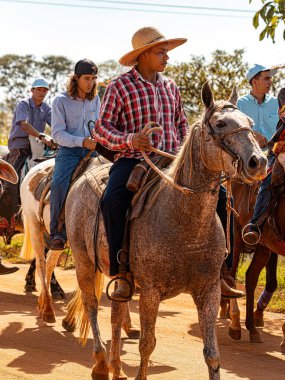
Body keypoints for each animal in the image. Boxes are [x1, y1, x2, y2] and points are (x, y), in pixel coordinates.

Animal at [58, 83, 266, 380]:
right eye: (220, 123)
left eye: (249, 122)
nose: (258, 162)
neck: (187, 226)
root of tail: (83, 178)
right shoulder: (150, 292)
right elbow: (147, 344)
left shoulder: (209, 290)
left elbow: (212, 354)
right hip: (84, 262)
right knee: (92, 305)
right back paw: (100, 364)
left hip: (120, 280)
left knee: (116, 313)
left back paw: (116, 367)